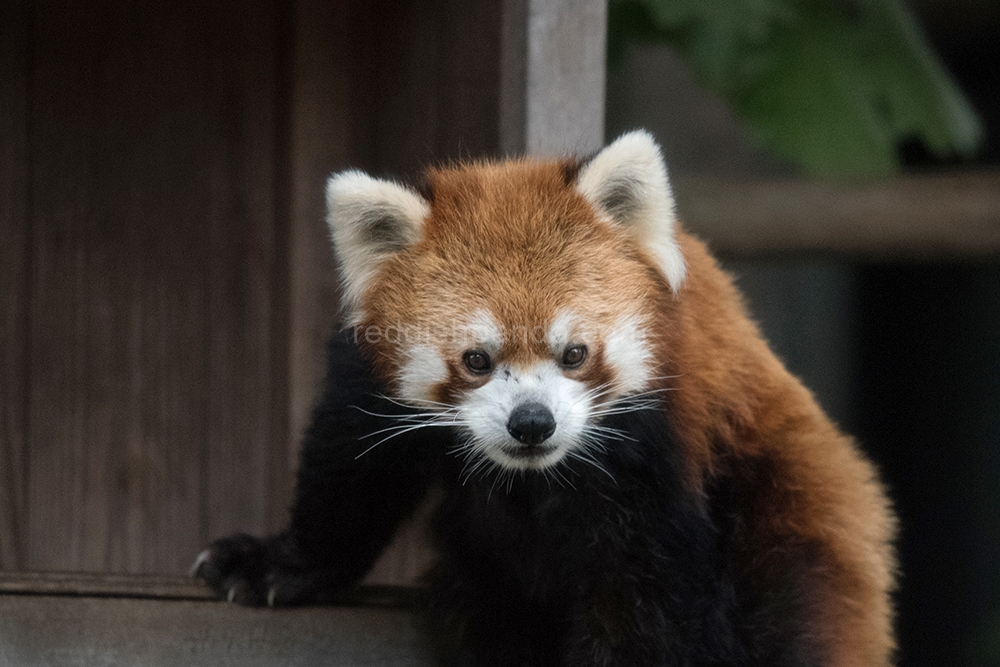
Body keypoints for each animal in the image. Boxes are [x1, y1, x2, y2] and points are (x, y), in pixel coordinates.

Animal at [195, 132, 900, 667]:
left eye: (574, 354)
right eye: (477, 360)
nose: (531, 423)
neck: (533, 480)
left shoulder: (657, 449)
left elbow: (645, 604)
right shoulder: (369, 380)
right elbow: (349, 473)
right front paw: (280, 561)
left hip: (788, 514)